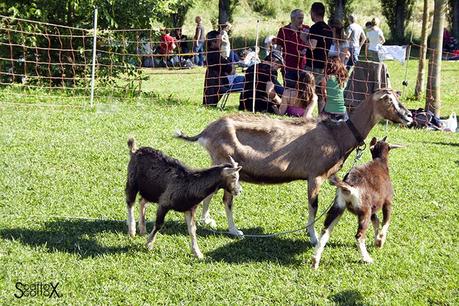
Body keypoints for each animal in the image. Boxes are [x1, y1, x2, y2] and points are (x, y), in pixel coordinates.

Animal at [176, 87, 414, 245]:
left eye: (398, 97)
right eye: (388, 99)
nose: (409, 116)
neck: (337, 135)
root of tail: (205, 132)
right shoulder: (315, 176)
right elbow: (313, 206)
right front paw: (313, 237)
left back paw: (208, 220)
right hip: (228, 164)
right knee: (227, 199)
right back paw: (234, 231)